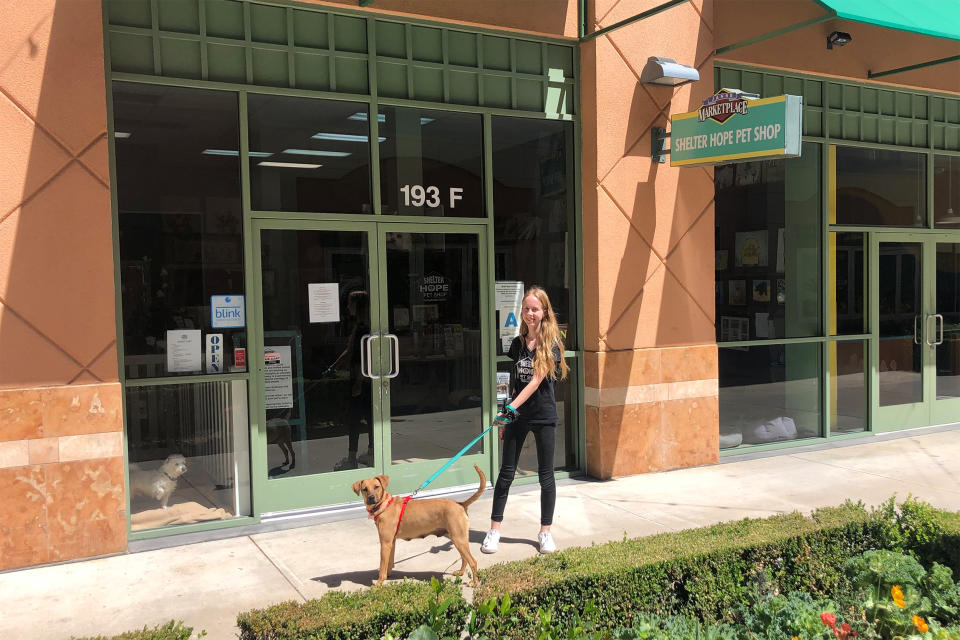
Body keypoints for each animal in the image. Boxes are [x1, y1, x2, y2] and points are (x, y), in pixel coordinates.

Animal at [352, 464, 488, 584]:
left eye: (376, 487)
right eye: (364, 489)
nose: (371, 498)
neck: (385, 505)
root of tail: (460, 504)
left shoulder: (385, 543)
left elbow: (382, 566)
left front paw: (379, 583)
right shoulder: (391, 542)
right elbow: (389, 562)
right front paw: (388, 574)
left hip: (458, 539)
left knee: (473, 561)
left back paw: (474, 583)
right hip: (459, 539)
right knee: (465, 558)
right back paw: (461, 572)